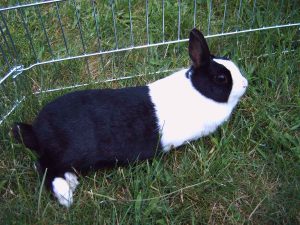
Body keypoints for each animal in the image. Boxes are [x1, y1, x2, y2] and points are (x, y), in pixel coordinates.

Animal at [11, 28, 248, 207]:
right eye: (221, 78)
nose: (245, 84)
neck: (198, 90)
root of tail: (36, 131)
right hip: (70, 152)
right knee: (43, 166)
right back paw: (65, 194)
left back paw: (70, 181)